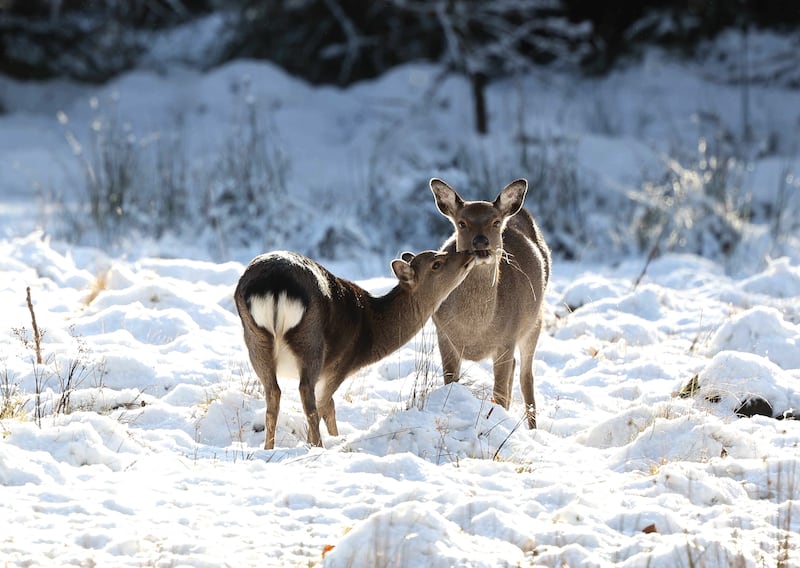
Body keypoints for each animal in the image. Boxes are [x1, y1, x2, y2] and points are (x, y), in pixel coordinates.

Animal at [236, 248, 476, 448]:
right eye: (436, 263)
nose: (469, 253)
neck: (371, 334)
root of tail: (274, 283)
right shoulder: (340, 364)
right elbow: (327, 405)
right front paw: (331, 440)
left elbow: (328, 406)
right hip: (311, 342)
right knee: (308, 397)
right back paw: (317, 446)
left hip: (255, 340)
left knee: (273, 394)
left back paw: (269, 448)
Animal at [432, 176, 552, 426]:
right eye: (462, 223)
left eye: (495, 222)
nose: (481, 242)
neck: (474, 329)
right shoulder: (443, 333)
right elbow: (450, 382)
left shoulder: (507, 338)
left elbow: (501, 394)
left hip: (534, 322)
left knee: (526, 377)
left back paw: (532, 428)